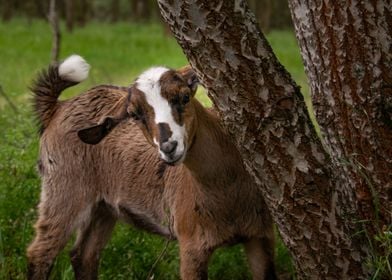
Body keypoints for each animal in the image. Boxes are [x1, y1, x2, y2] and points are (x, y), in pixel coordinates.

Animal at [26, 55, 276, 280]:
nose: (169, 147)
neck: (227, 188)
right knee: (40, 253)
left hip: (103, 206)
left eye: (185, 97)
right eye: (134, 114)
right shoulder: (191, 245)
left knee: (83, 255)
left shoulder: (261, 236)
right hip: (63, 187)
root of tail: (57, 108)